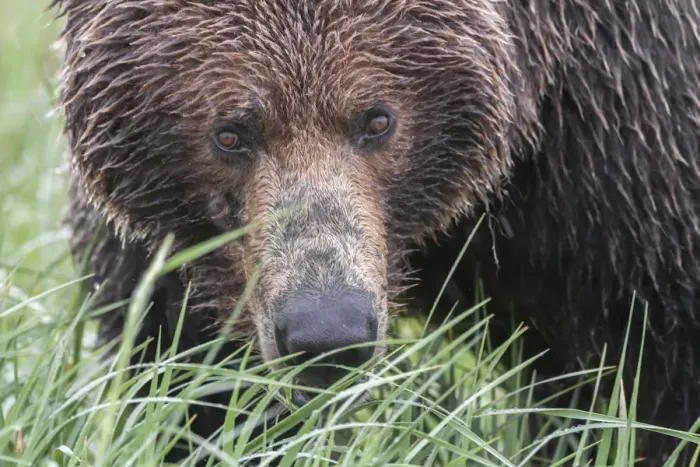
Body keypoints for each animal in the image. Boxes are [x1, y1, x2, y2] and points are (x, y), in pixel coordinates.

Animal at [52, 0, 700, 464]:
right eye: (231, 132)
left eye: (377, 119)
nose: (327, 332)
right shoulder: (172, 263)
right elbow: (187, 379)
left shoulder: (624, 173)